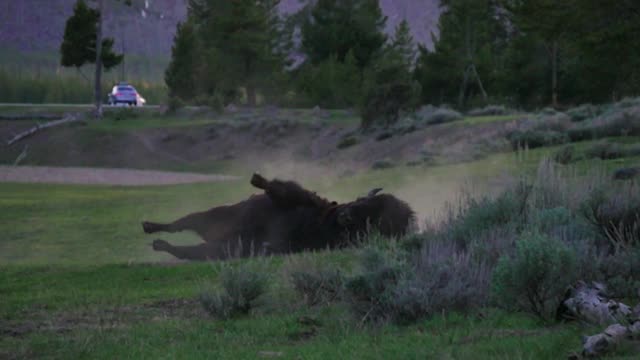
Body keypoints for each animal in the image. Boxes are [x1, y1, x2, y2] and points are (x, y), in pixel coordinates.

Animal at [141, 174, 416, 260]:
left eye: (375, 221)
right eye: (365, 202)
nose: (346, 216)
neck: (327, 223)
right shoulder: (306, 201)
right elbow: (286, 191)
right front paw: (258, 180)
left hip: (218, 246)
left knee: (186, 248)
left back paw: (158, 243)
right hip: (217, 216)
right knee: (181, 223)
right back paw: (149, 227)